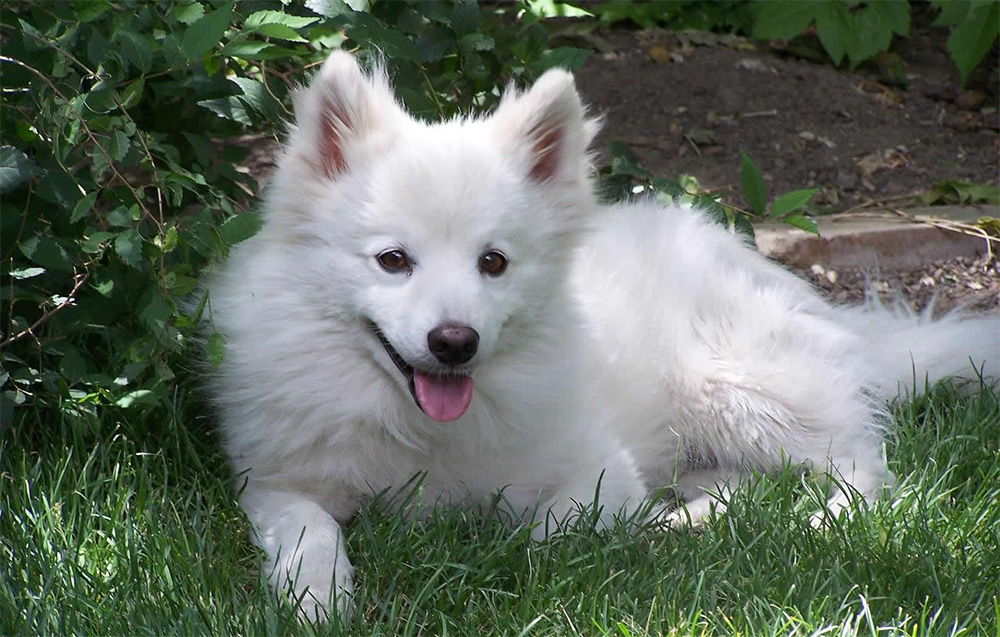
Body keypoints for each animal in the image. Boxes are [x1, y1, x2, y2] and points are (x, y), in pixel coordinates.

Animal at [205, 51, 999, 621]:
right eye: (393, 260)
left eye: (493, 262)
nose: (455, 341)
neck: (418, 427)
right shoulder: (275, 482)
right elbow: (309, 532)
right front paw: (319, 597)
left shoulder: (598, 467)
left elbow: (549, 532)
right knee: (750, 480)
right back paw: (689, 518)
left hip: (733, 386)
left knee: (860, 461)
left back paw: (810, 523)